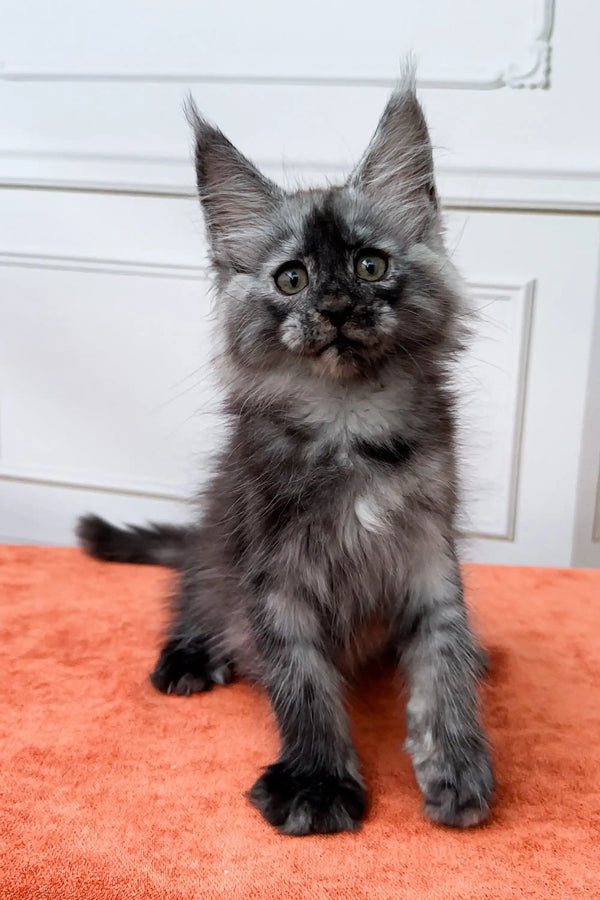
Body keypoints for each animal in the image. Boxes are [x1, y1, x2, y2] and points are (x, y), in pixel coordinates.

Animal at [77, 70, 494, 836]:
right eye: (291, 279)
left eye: (370, 265)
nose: (334, 305)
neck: (349, 423)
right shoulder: (273, 574)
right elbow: (302, 683)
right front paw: (319, 783)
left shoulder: (428, 555)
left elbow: (443, 660)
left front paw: (457, 764)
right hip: (217, 544)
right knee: (195, 595)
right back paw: (189, 653)